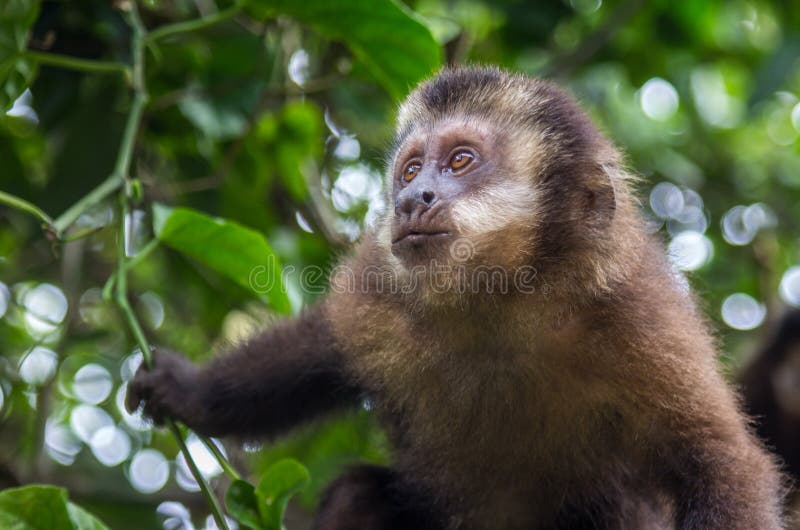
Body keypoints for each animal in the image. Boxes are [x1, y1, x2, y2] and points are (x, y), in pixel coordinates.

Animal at [126, 68, 788, 524]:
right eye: (411, 169)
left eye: (462, 160)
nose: (410, 200)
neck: (500, 303)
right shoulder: (382, 289)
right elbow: (323, 348)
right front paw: (189, 393)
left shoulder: (638, 319)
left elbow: (720, 465)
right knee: (356, 496)